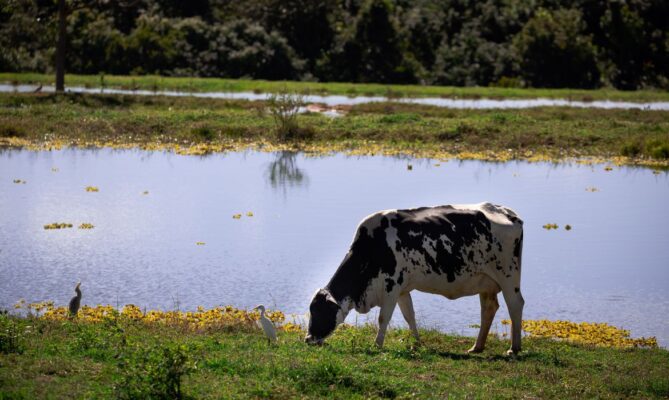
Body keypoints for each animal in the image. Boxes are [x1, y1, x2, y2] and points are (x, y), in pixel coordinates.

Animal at [306, 202, 524, 354]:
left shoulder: (391, 286)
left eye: (321, 311)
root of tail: (507, 212)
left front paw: (377, 345)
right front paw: (417, 344)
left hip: (508, 275)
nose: (308, 339)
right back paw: (477, 347)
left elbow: (384, 318)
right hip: (485, 282)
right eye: (311, 310)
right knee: (488, 309)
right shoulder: (402, 289)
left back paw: (514, 348)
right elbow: (409, 315)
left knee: (515, 304)